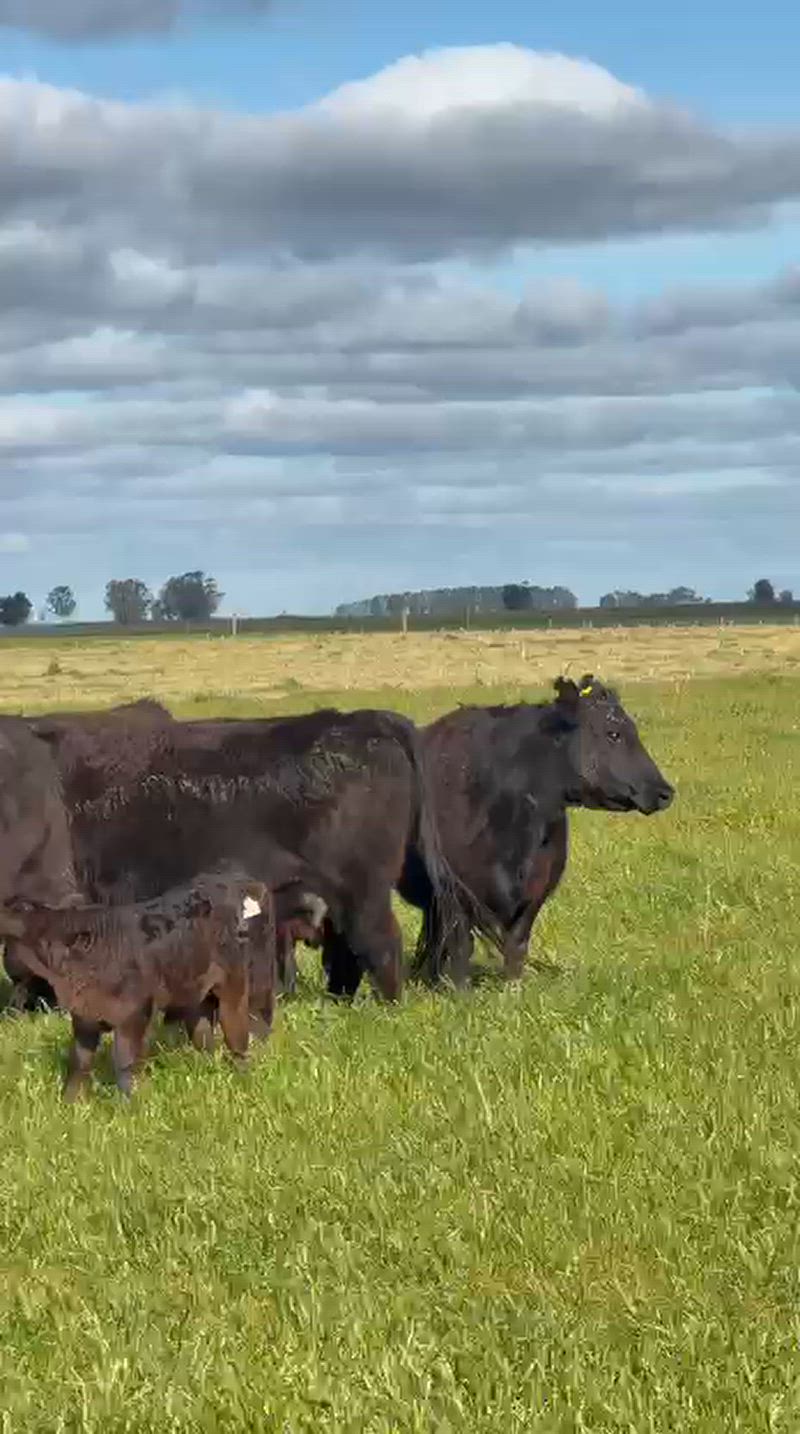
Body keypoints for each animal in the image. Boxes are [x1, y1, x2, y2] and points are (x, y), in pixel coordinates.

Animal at [0, 866, 272, 1101]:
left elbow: (125, 1061)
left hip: (236, 985)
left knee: (237, 1030)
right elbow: (79, 1062)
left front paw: (131, 1106)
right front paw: (70, 1103)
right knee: (203, 1033)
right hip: (194, 988)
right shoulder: (85, 1015)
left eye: (22, 907)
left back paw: (242, 1077)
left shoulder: (134, 1013)